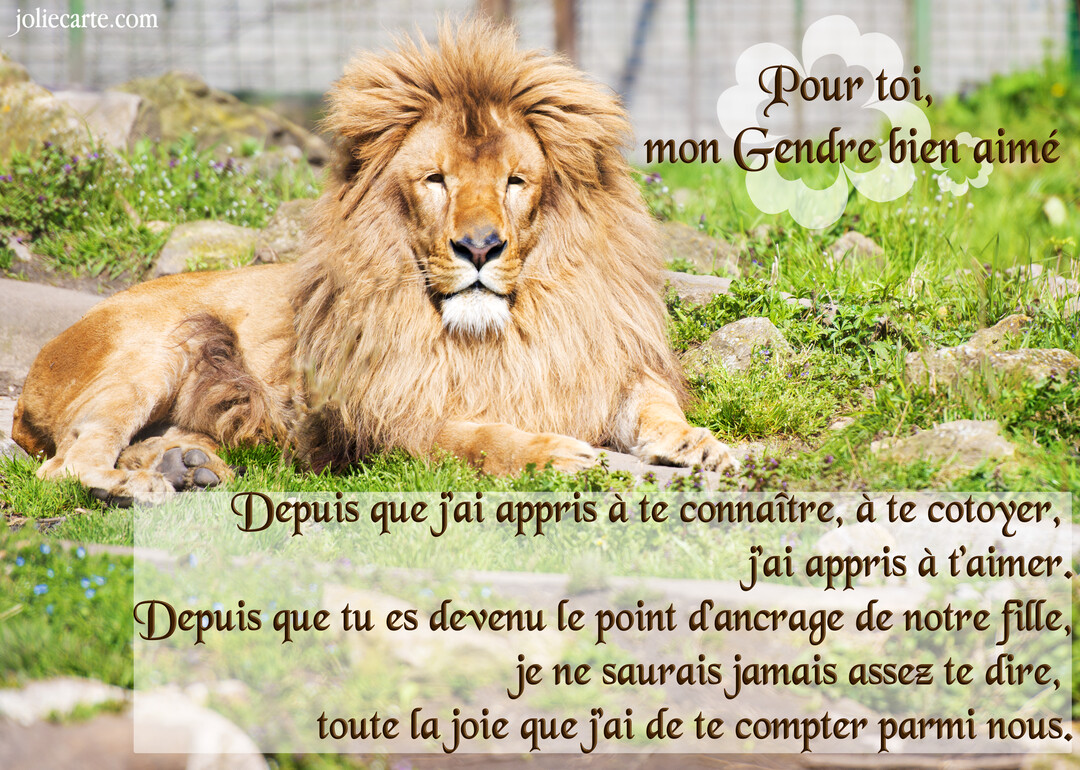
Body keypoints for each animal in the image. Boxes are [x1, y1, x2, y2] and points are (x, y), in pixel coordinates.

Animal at [12, 20, 738, 506]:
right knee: (63, 465)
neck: (498, 331)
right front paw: (555, 452)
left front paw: (700, 444)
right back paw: (135, 486)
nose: (479, 248)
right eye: (436, 180)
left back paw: (186, 466)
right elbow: (480, 438)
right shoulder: (385, 420)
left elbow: (654, 407)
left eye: (515, 182)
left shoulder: (598, 361)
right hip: (151, 349)